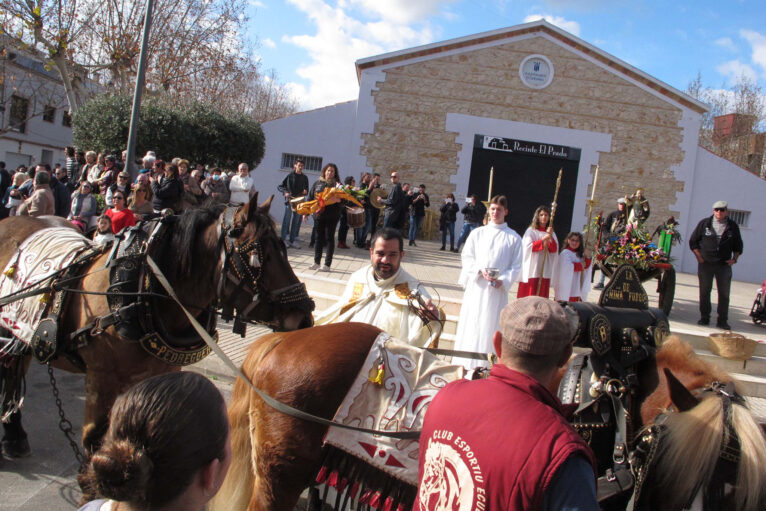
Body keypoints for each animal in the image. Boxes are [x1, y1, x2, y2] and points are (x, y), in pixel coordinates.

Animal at [0, 194, 314, 462]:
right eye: (260, 256)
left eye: (282, 248)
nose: (303, 318)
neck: (146, 287)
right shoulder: (101, 380)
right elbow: (95, 444)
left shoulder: (163, 370)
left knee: (14, 368)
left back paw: (14, 434)